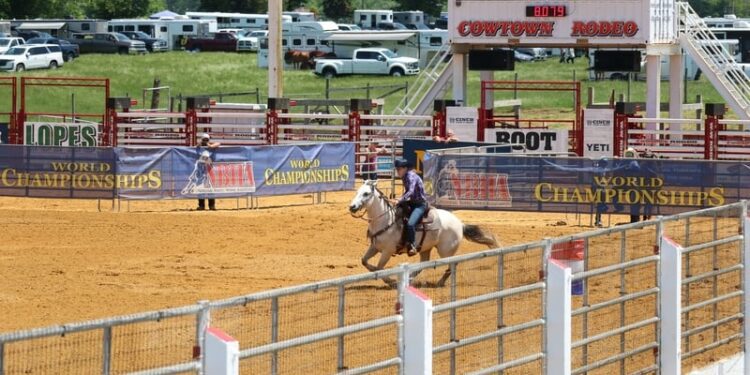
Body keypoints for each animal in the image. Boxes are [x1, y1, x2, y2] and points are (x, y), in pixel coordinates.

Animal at [352, 181, 502, 286]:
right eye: (357, 191)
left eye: (366, 193)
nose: (352, 207)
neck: (387, 220)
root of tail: (460, 224)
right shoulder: (375, 247)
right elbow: (365, 262)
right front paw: (379, 274)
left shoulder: (387, 251)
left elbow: (379, 268)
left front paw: (390, 281)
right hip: (425, 248)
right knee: (423, 264)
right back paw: (410, 278)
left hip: (445, 251)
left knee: (452, 265)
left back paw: (440, 282)